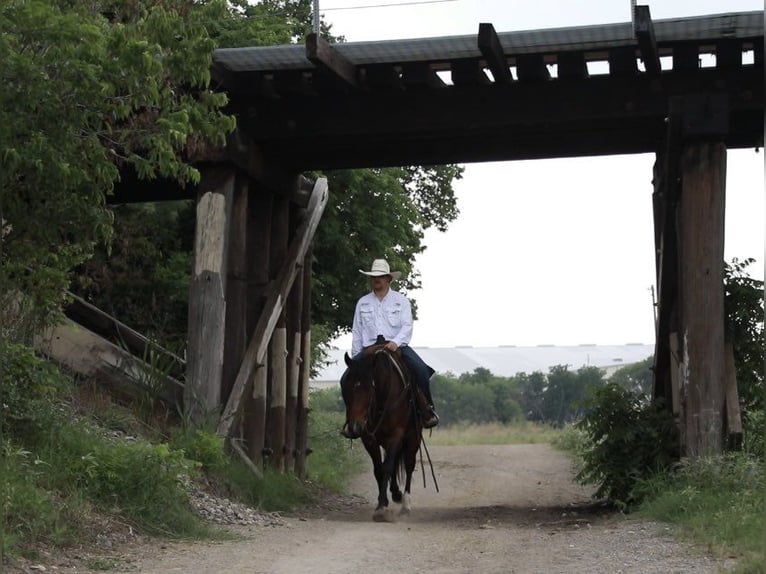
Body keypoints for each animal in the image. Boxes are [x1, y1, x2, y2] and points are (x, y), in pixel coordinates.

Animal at [344, 344, 424, 524]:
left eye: (370, 387)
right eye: (348, 387)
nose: (356, 427)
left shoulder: (396, 434)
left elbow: (387, 467)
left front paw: (381, 509)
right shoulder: (369, 438)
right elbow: (379, 469)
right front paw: (383, 503)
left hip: (412, 438)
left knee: (409, 465)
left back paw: (405, 504)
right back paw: (395, 494)